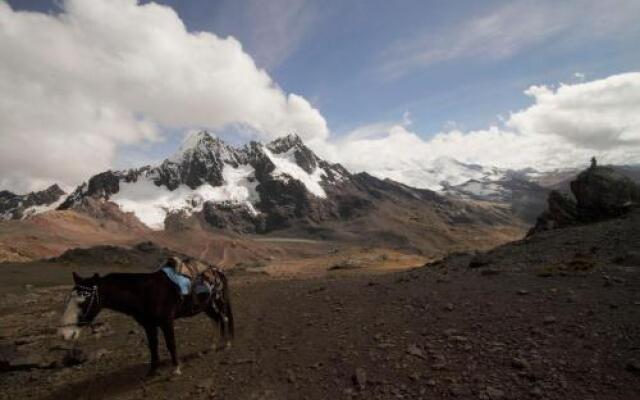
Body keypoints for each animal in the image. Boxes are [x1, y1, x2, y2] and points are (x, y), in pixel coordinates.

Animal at [58, 266, 234, 376]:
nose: (64, 334)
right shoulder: (148, 325)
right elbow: (153, 346)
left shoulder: (166, 321)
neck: (146, 292)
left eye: (83, 301)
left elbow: (170, 343)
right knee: (216, 320)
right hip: (206, 307)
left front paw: (176, 369)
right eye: (69, 299)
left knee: (224, 319)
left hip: (218, 303)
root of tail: (217, 271)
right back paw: (212, 347)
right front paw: (152, 371)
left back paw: (226, 344)